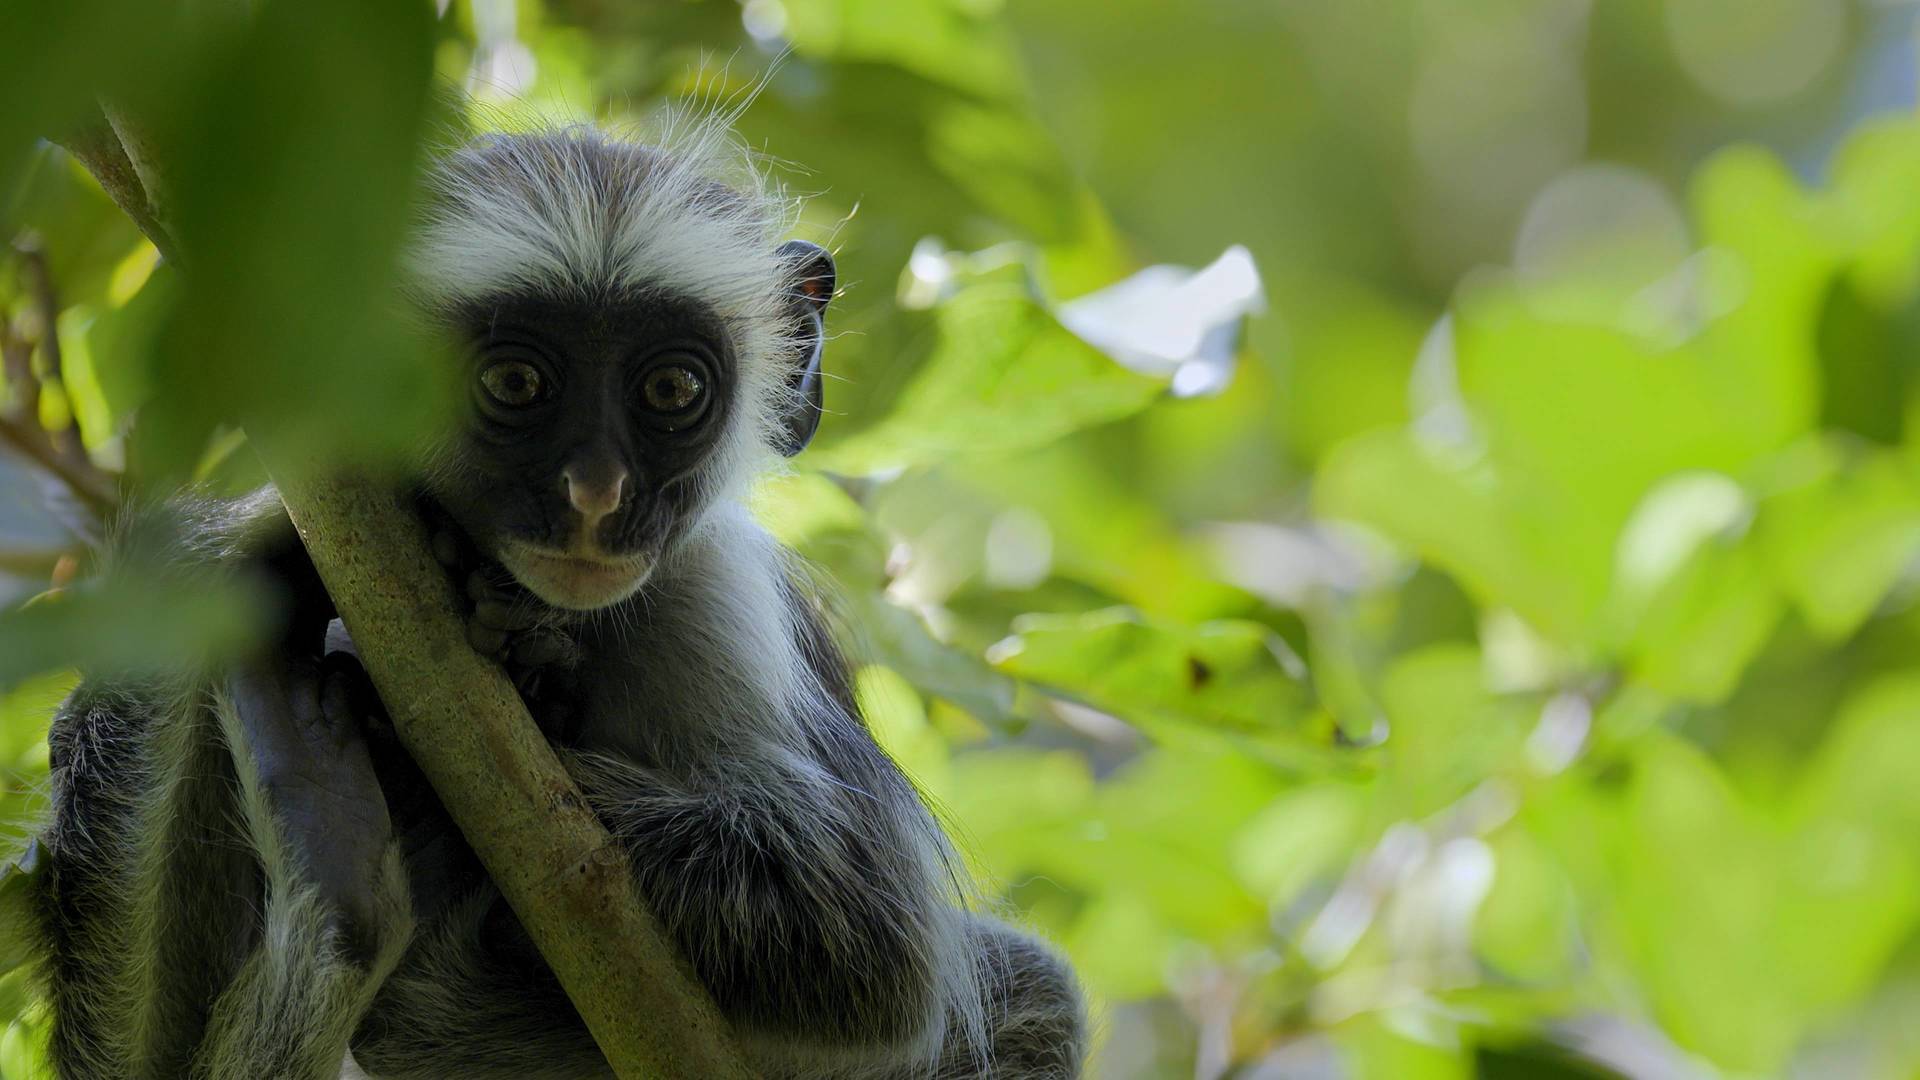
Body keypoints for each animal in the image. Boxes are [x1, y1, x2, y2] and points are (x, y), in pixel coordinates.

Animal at [22, 122, 1090, 1068]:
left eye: (671, 392)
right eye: (515, 383)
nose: (596, 495)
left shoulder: (710, 592)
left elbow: (869, 946)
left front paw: (525, 684)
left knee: (1034, 995)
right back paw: (335, 855)